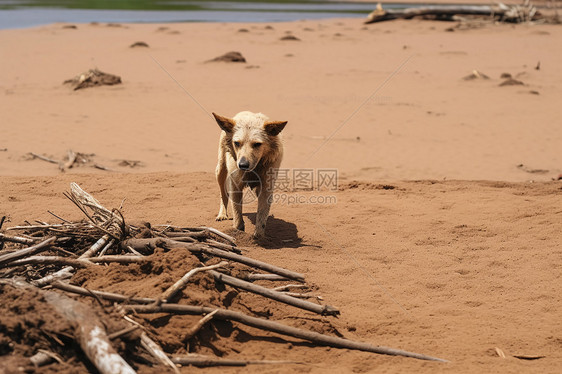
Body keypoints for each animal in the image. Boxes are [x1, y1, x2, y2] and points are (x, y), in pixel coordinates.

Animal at [212, 112, 286, 240]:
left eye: (257, 144)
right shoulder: (235, 185)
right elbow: (237, 213)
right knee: (223, 195)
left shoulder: (266, 188)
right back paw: (222, 214)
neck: (253, 170)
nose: (242, 165)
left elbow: (261, 215)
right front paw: (237, 233)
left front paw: (259, 237)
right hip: (220, 171)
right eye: (237, 143)